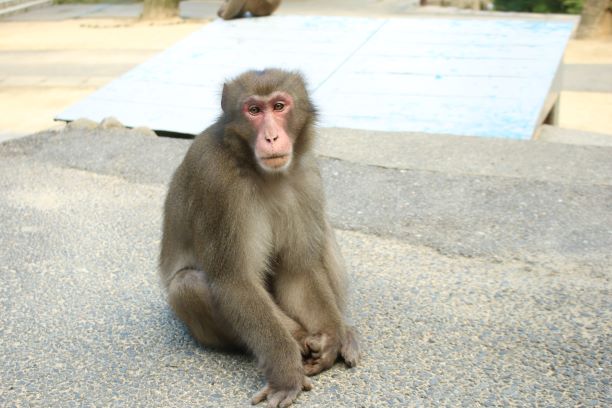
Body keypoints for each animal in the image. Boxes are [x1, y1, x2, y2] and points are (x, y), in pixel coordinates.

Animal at [158, 68, 360, 406]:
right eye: (253, 110)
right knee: (188, 285)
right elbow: (235, 282)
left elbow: (299, 271)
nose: (272, 137)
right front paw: (287, 370)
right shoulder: (216, 183)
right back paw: (299, 340)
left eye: (279, 106)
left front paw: (331, 338)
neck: (262, 172)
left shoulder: (306, 176)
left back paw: (344, 332)